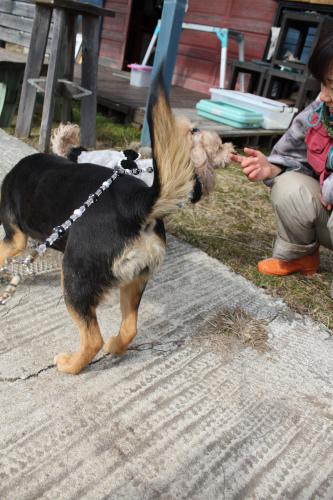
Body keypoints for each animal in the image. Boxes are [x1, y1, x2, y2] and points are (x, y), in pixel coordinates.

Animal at [0, 70, 200, 376]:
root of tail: (137, 205)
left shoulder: (15, 238)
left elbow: (2, 251)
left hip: (75, 278)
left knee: (93, 338)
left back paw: (71, 365)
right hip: (135, 280)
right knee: (129, 328)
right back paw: (116, 346)